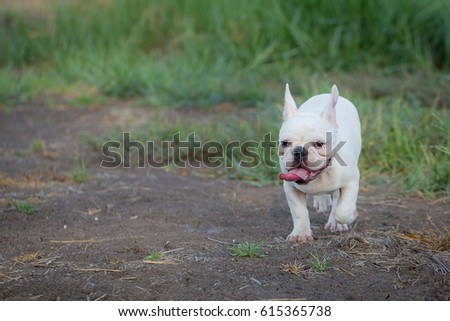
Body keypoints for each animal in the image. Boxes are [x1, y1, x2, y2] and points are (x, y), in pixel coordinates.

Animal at [280, 84, 360, 241]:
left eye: (319, 144)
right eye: (285, 143)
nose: (299, 151)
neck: (323, 174)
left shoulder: (351, 182)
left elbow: (343, 210)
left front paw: (347, 217)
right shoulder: (291, 188)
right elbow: (299, 212)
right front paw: (300, 234)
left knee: (337, 198)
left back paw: (335, 222)